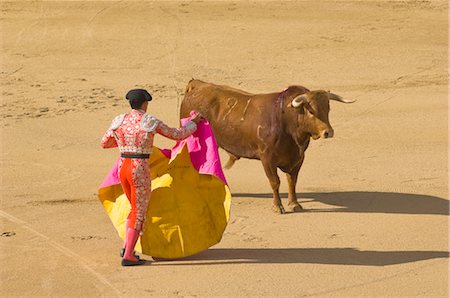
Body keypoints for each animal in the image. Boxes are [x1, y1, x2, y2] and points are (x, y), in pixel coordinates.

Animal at [180, 79, 356, 214]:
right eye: (311, 111)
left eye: (328, 109)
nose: (328, 132)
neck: (287, 121)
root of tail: (196, 84)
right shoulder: (267, 159)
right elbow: (275, 182)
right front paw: (278, 207)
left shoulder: (298, 158)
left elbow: (292, 181)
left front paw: (295, 204)